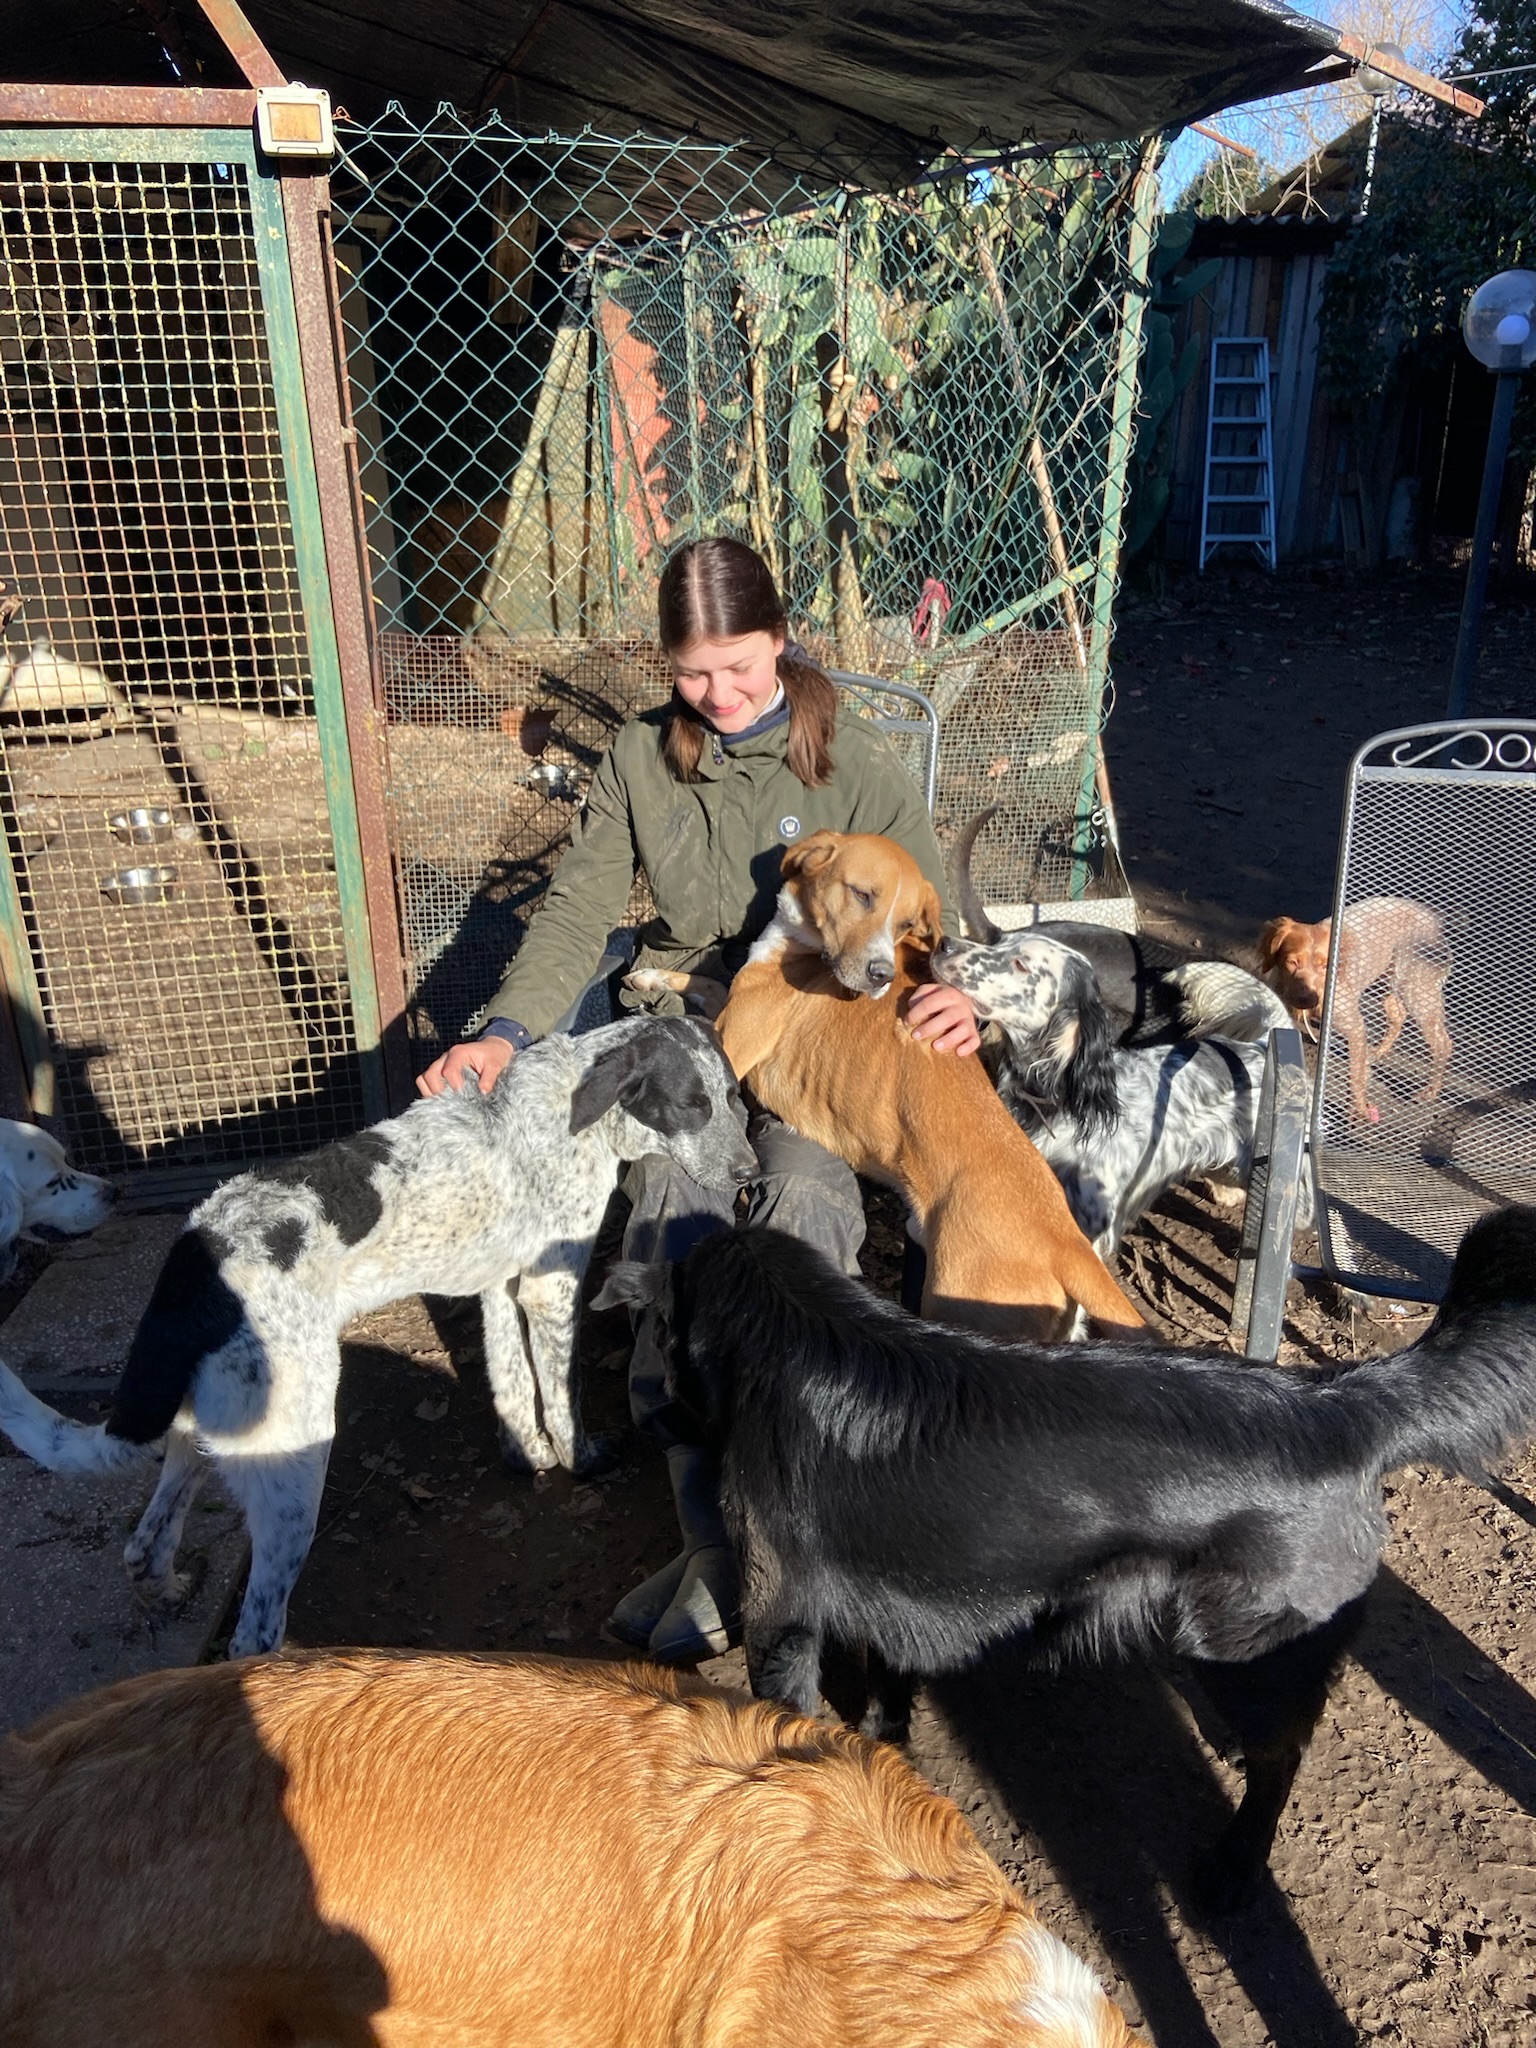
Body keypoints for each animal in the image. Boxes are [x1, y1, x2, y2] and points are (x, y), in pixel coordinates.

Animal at [597, 1206, 1536, 1911]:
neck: (793, 1329)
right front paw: (885, 1755)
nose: (649, 1424)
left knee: (1283, 1762)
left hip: (1247, 1645)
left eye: (658, 1339)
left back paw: (1236, 1866)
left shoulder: (779, 1627)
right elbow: (888, 1695)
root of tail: (1339, 1403)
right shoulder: (897, 1597)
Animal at [709, 829, 1148, 1341]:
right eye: (862, 895)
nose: (879, 975)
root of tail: (1067, 1242)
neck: (808, 945)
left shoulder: (730, 1040)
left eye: (905, 923)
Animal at [1259, 898, 1454, 1124]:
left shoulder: (1355, 1028)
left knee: (1443, 1043)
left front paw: (1360, 1109)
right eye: (1292, 962)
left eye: (1325, 966)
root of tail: (1433, 919)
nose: (1307, 999)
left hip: (1417, 993)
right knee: (1398, 1017)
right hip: (1387, 984)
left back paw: (1431, 1090)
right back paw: (1376, 1052)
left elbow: (1356, 1076)